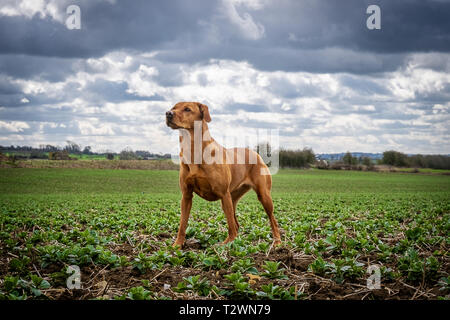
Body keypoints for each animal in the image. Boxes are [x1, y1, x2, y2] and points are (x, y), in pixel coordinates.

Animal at [165, 102, 280, 248]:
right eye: (173, 108)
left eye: (187, 109)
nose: (168, 113)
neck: (194, 150)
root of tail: (256, 154)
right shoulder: (186, 195)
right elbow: (182, 224)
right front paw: (178, 244)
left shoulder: (224, 193)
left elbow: (230, 225)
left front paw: (228, 243)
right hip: (233, 197)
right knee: (236, 223)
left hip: (262, 195)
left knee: (272, 220)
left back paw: (277, 242)